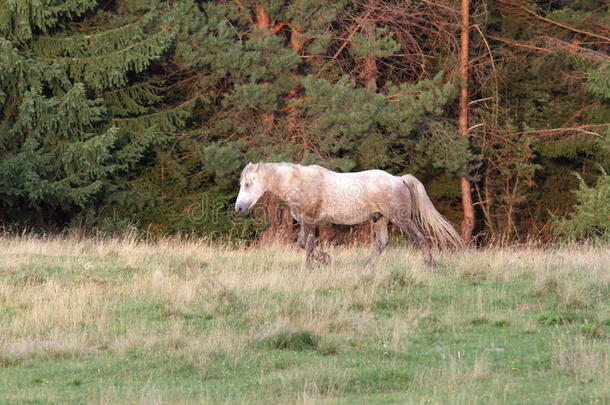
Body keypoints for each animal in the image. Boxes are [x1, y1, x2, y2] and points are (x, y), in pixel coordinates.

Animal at [234, 161, 460, 268]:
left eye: (248, 184)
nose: (239, 208)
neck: (298, 181)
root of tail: (399, 179)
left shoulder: (309, 220)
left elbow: (307, 244)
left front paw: (310, 268)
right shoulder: (309, 221)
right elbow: (303, 244)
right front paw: (325, 259)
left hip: (401, 219)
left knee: (420, 238)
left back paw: (431, 265)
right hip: (379, 219)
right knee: (381, 244)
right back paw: (365, 268)